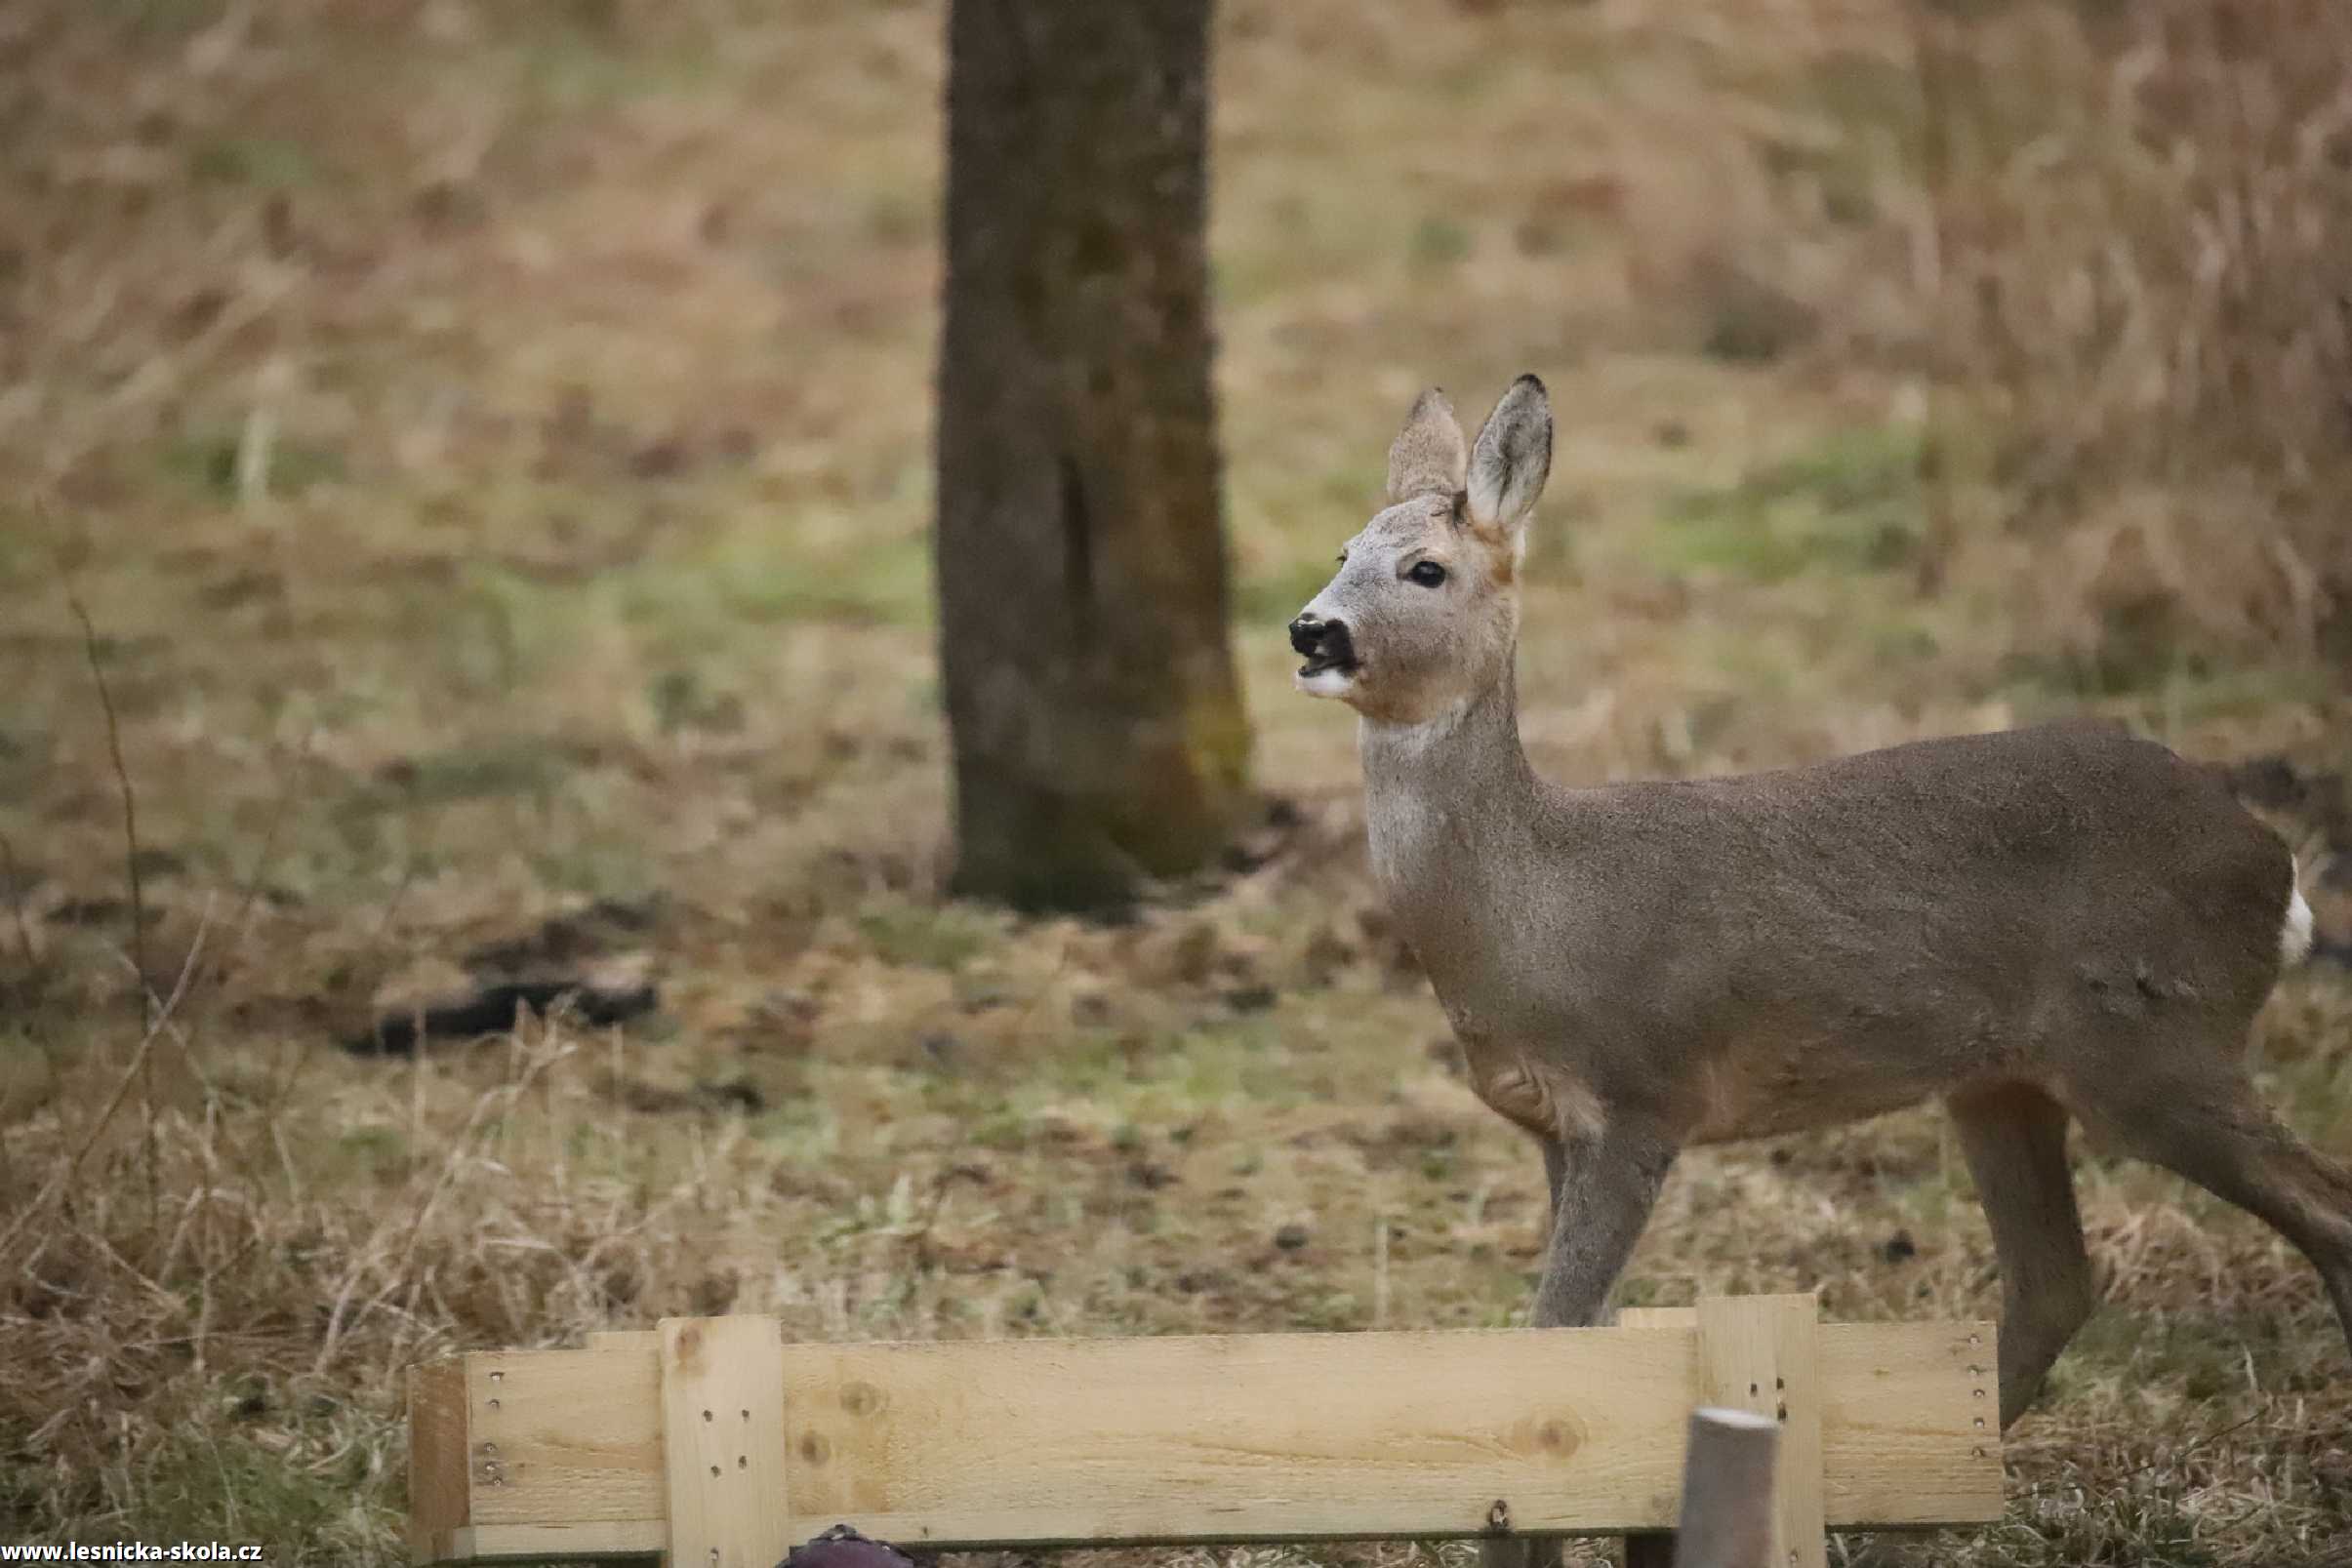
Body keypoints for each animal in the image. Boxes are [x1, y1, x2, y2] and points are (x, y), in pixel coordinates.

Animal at [1298, 376, 2342, 1438]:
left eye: (1425, 569)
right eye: (1340, 553)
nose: (1312, 630)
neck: (1536, 911)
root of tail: (2273, 867)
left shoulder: (1645, 1092)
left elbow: (1561, 1322)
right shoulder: (1555, 1121)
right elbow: (1590, 1323)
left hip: (2157, 1040)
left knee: (2322, 1212)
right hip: (2003, 1080)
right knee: (2054, 1280)